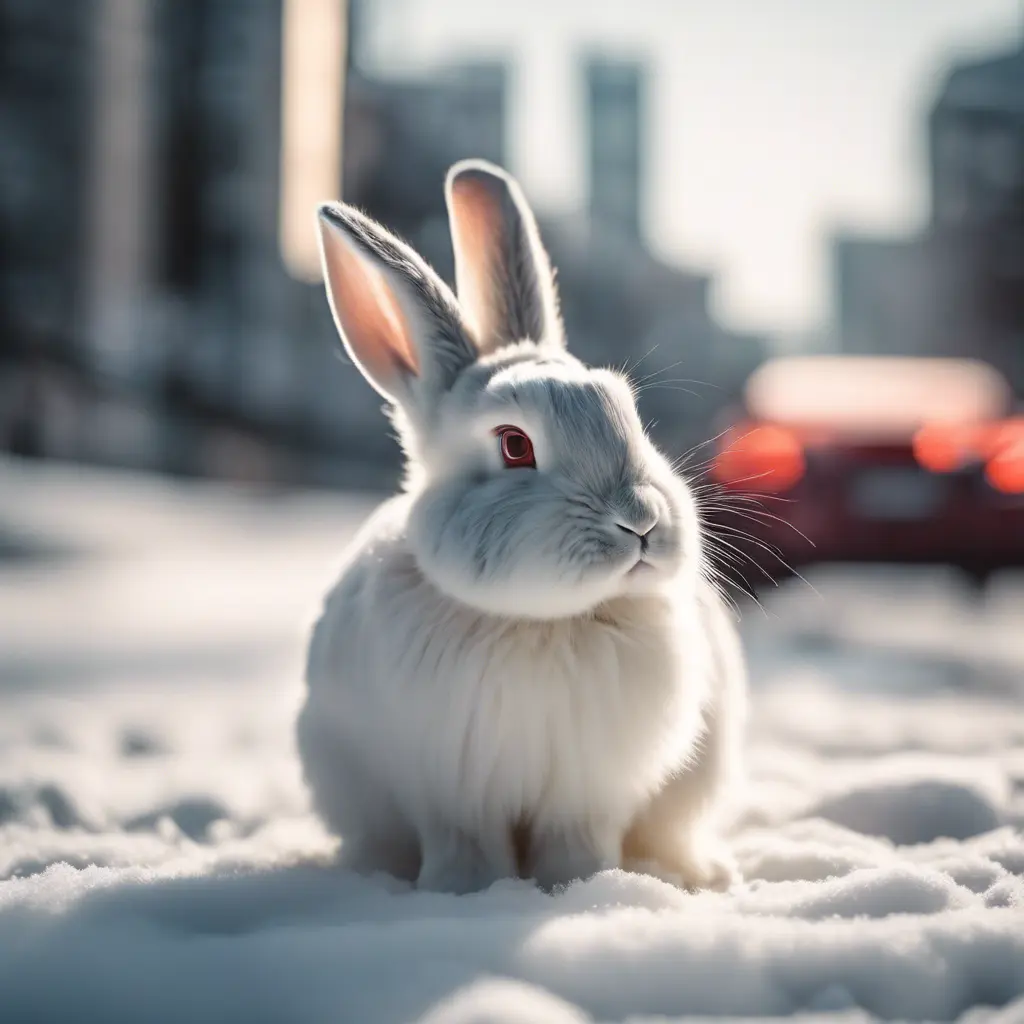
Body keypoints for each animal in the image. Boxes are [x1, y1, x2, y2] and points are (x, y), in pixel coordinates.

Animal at [294, 159, 745, 897]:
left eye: (629, 414)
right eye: (514, 446)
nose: (642, 522)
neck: (541, 622)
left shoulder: (586, 791)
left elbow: (577, 841)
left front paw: (581, 886)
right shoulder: (449, 789)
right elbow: (465, 843)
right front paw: (463, 893)